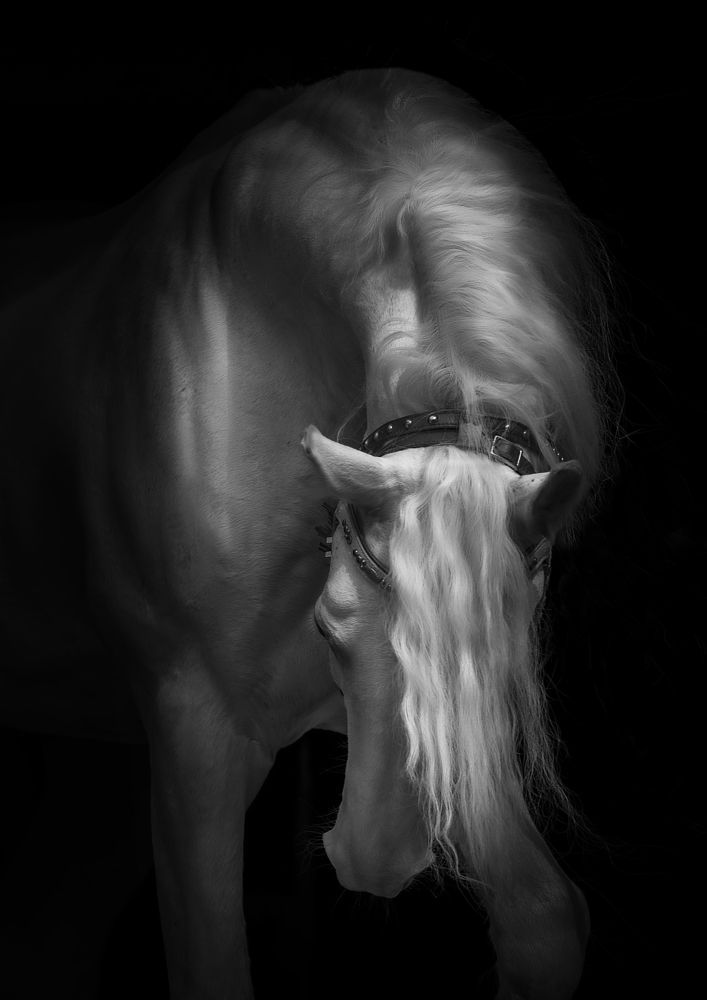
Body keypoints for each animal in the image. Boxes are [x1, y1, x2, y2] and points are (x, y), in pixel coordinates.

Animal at [0, 68, 617, 998]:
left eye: (512, 649)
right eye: (329, 627)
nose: (373, 859)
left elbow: (546, 922)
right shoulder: (198, 731)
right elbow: (210, 965)